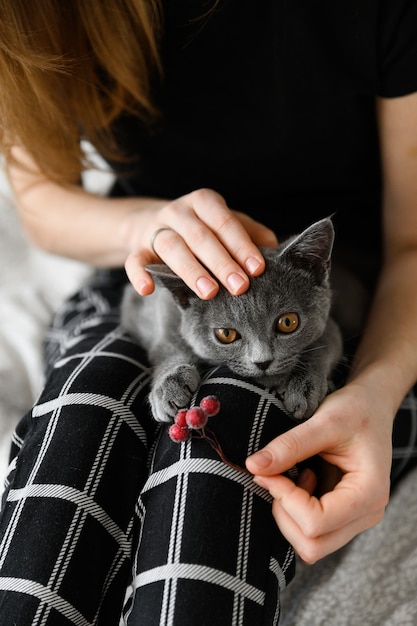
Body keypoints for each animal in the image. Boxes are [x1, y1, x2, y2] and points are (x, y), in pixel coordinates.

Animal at [122, 217, 342, 422]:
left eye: (288, 322)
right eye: (226, 334)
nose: (263, 362)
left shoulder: (330, 325)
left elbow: (324, 344)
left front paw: (303, 386)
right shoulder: (161, 314)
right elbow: (167, 347)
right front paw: (168, 385)